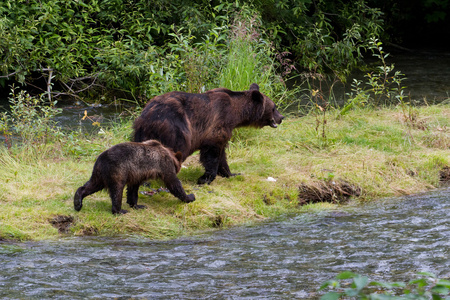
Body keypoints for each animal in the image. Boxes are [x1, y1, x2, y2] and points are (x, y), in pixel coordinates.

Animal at [132, 83, 284, 184]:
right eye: (274, 107)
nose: (281, 117)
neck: (237, 113)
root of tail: (146, 115)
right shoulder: (218, 122)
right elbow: (212, 152)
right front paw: (206, 178)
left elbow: (222, 154)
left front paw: (231, 173)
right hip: (175, 127)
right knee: (176, 148)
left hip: (142, 132)